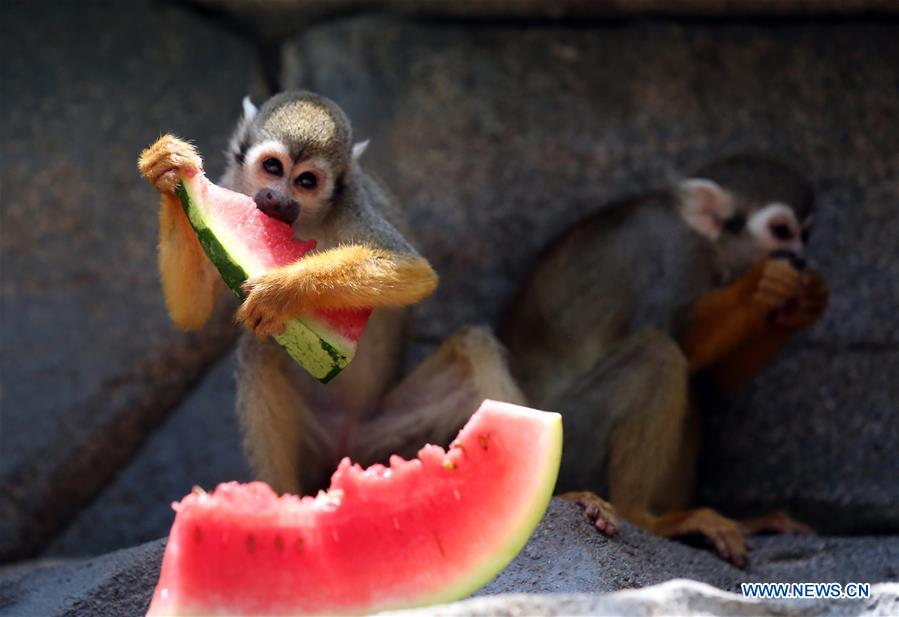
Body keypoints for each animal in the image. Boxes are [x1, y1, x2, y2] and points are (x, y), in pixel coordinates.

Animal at [139, 91, 525, 495]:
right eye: (272, 168)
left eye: (307, 181)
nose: (278, 199)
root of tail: (347, 439)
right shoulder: (232, 184)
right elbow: (191, 313)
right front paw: (166, 173)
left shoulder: (351, 204)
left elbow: (414, 272)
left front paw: (283, 290)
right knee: (258, 353)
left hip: (392, 434)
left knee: (474, 345)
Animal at [501, 154, 828, 566]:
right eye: (782, 231)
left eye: (805, 234)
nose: (799, 258)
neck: (706, 243)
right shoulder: (674, 261)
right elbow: (677, 342)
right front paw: (760, 284)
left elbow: (711, 375)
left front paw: (805, 303)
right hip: (569, 439)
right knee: (659, 355)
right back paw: (646, 518)